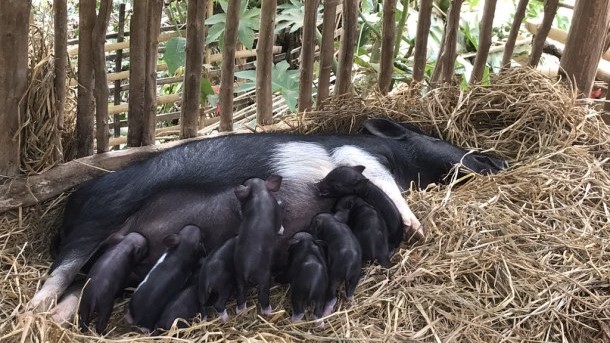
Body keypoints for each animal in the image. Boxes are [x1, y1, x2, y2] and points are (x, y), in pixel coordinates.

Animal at [233, 177, 282, 318]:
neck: (259, 192)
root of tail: (248, 268)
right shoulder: (277, 211)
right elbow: (280, 224)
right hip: (264, 277)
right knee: (263, 296)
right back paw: (268, 311)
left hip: (238, 276)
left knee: (240, 295)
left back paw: (241, 311)